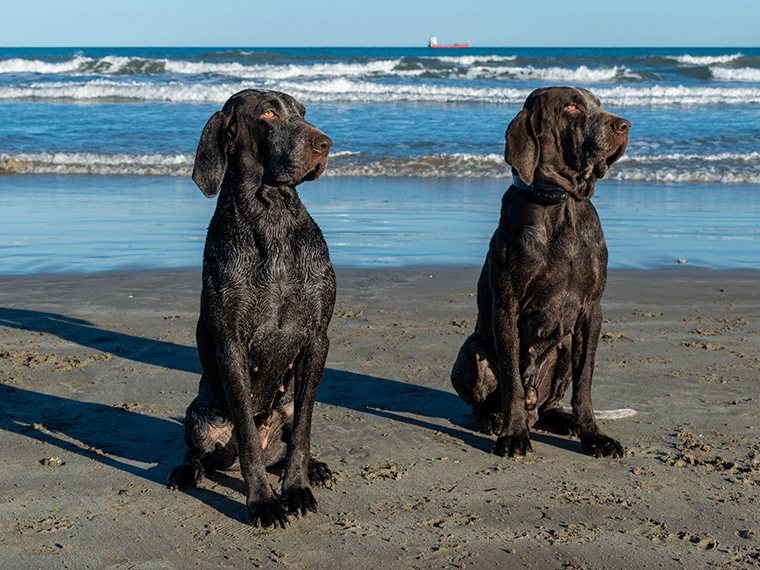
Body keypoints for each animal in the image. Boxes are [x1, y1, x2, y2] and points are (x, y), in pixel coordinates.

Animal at [171, 89, 336, 528]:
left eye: (303, 112)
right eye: (268, 114)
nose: (326, 144)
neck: (272, 219)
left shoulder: (317, 339)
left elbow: (302, 433)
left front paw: (296, 487)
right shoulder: (231, 346)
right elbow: (246, 434)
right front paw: (262, 501)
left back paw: (314, 467)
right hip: (201, 414)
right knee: (197, 452)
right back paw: (186, 471)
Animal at [452, 85, 628, 458]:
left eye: (599, 104)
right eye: (572, 107)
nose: (624, 126)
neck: (561, 204)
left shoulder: (591, 311)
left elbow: (584, 383)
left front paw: (594, 436)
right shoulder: (506, 307)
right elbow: (512, 383)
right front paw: (513, 435)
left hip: (564, 345)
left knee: (551, 405)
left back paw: (564, 420)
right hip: (470, 352)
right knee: (488, 401)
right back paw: (496, 419)